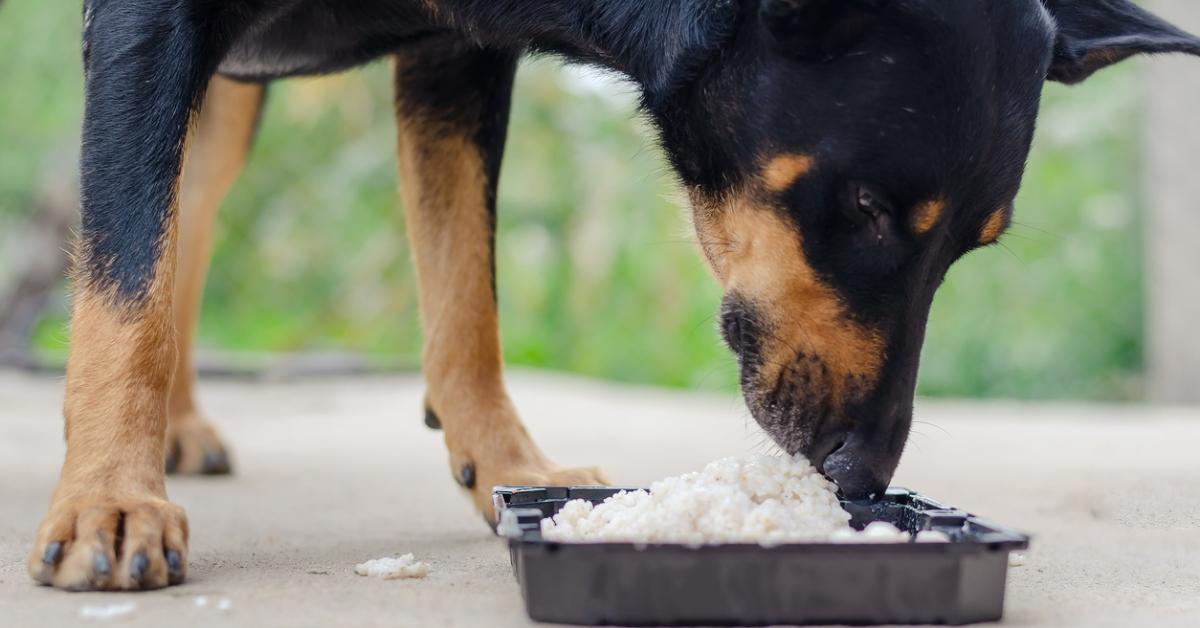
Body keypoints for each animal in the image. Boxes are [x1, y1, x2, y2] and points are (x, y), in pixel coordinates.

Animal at [25, 0, 1200, 593]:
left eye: (970, 245)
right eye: (865, 205)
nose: (861, 475)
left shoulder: (456, 53)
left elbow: (467, 289)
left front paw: (507, 462)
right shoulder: (146, 23)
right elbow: (123, 272)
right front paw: (110, 498)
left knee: (192, 202)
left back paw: (180, 422)